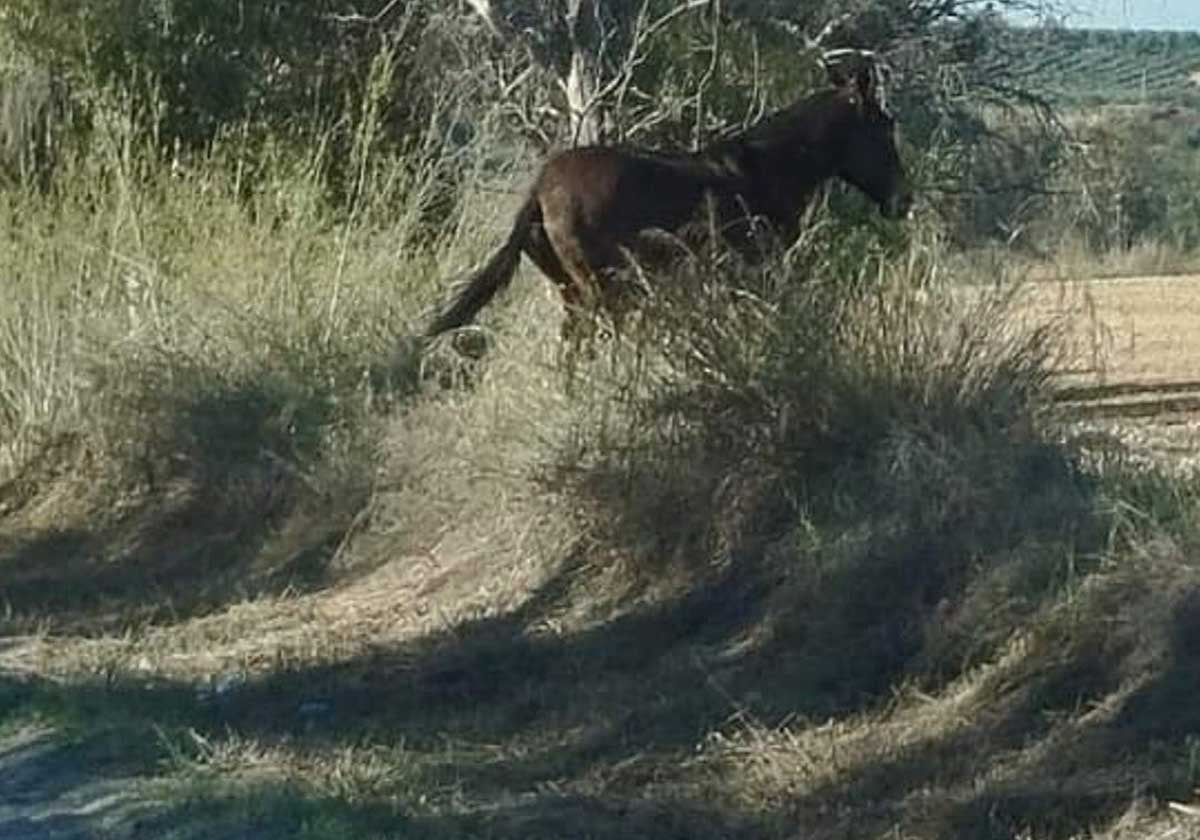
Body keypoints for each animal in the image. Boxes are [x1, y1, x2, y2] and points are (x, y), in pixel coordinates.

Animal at [429, 64, 907, 338]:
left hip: (575, 293)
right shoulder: (758, 270)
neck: (770, 167)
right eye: (885, 126)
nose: (904, 200)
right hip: (604, 290)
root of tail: (540, 188)